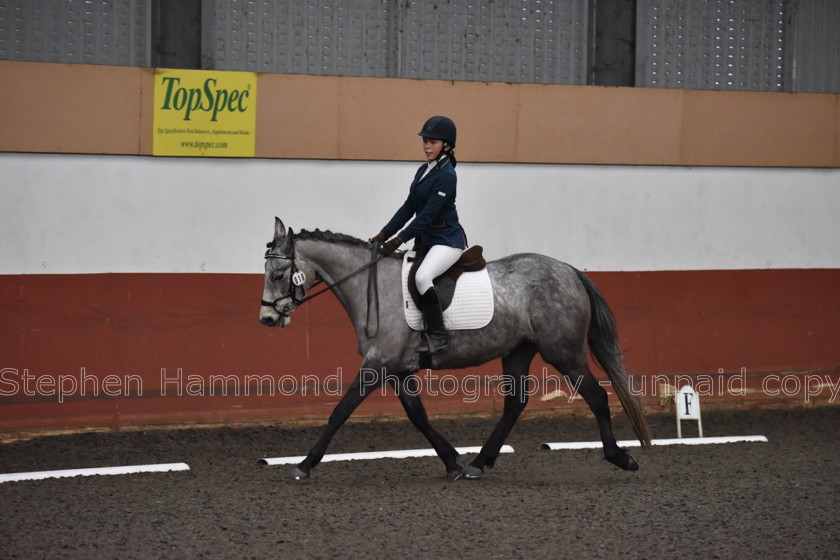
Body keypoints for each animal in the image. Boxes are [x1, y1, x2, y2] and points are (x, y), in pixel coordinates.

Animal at [260, 219, 652, 482]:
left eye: (278, 274)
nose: (266, 318)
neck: (370, 287)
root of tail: (569, 271)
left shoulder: (378, 364)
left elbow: (339, 412)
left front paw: (304, 465)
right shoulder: (398, 369)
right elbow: (418, 417)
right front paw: (452, 462)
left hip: (564, 353)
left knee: (597, 397)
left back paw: (621, 458)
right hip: (518, 351)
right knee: (515, 404)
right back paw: (478, 463)